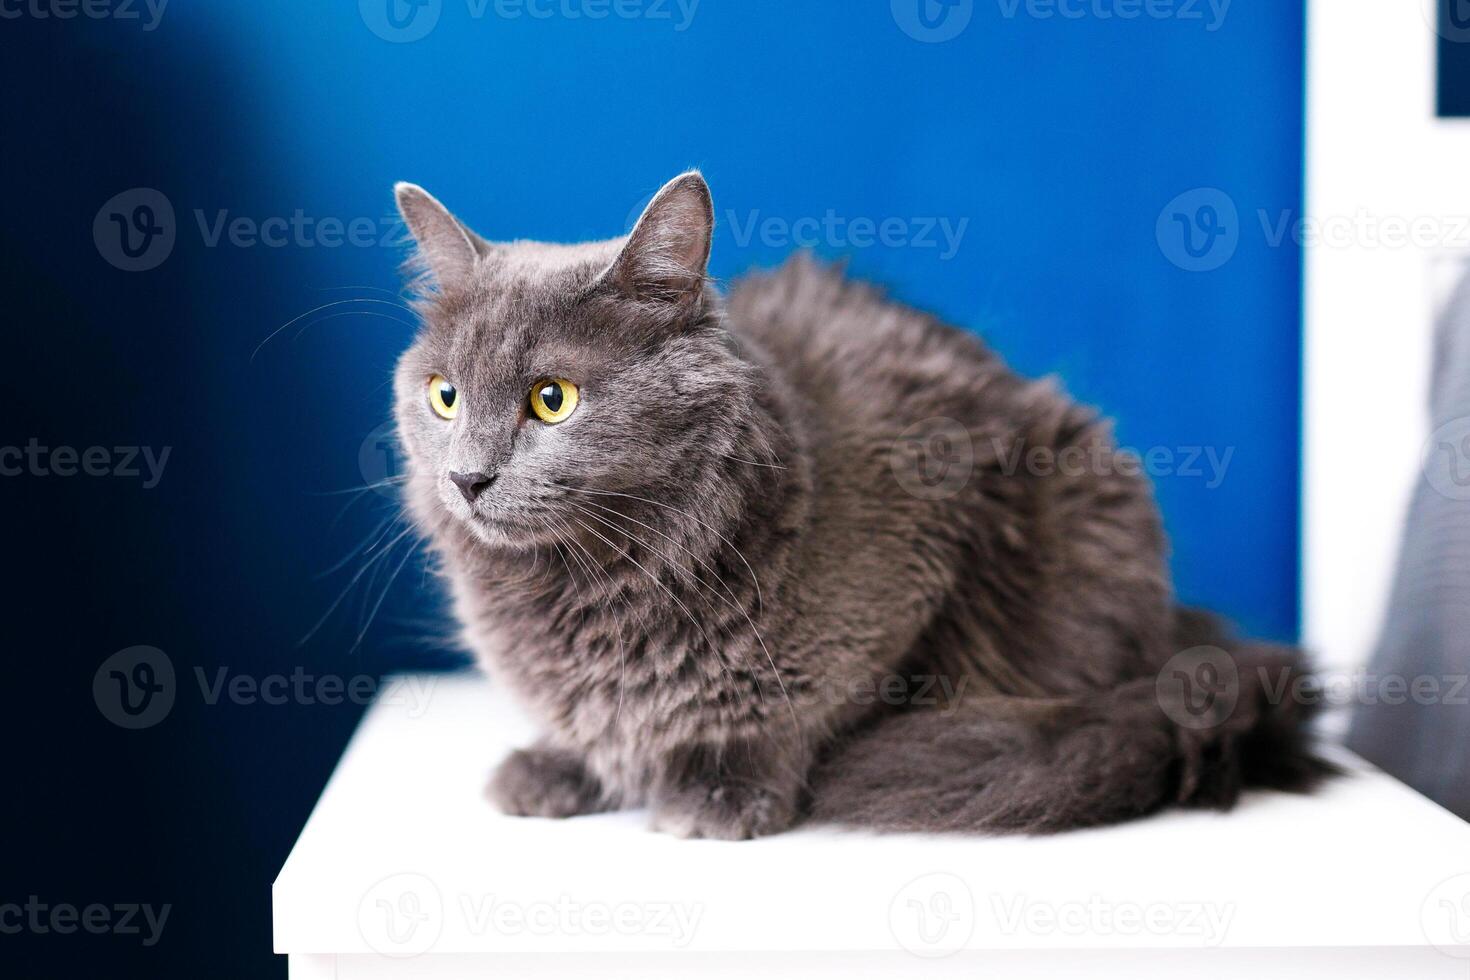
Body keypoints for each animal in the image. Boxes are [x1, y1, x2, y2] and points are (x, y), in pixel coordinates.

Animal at [391, 170, 1334, 846]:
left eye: (552, 399)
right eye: (444, 396)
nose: (467, 478)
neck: (590, 586)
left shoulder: (919, 557)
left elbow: (797, 709)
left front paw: (722, 791)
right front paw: (560, 764)